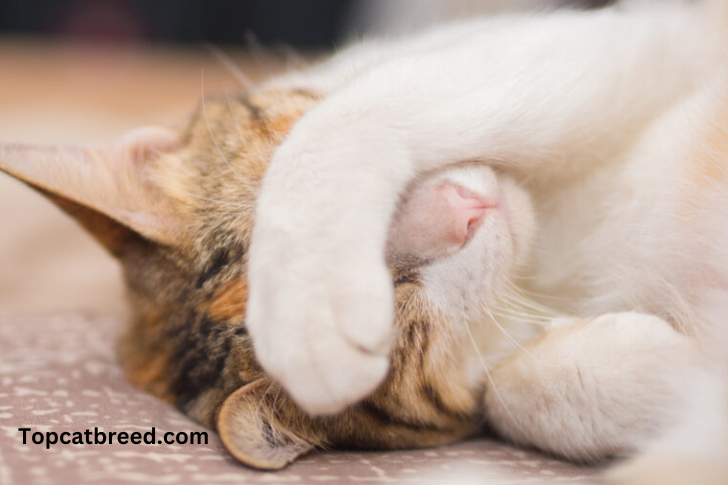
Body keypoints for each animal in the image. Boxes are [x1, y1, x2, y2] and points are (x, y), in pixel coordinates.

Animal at [1, 1, 728, 482]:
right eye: (405, 322)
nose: (466, 213)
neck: (552, 259)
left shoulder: (612, 42)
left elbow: (357, 112)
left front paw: (305, 300)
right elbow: (515, 393)